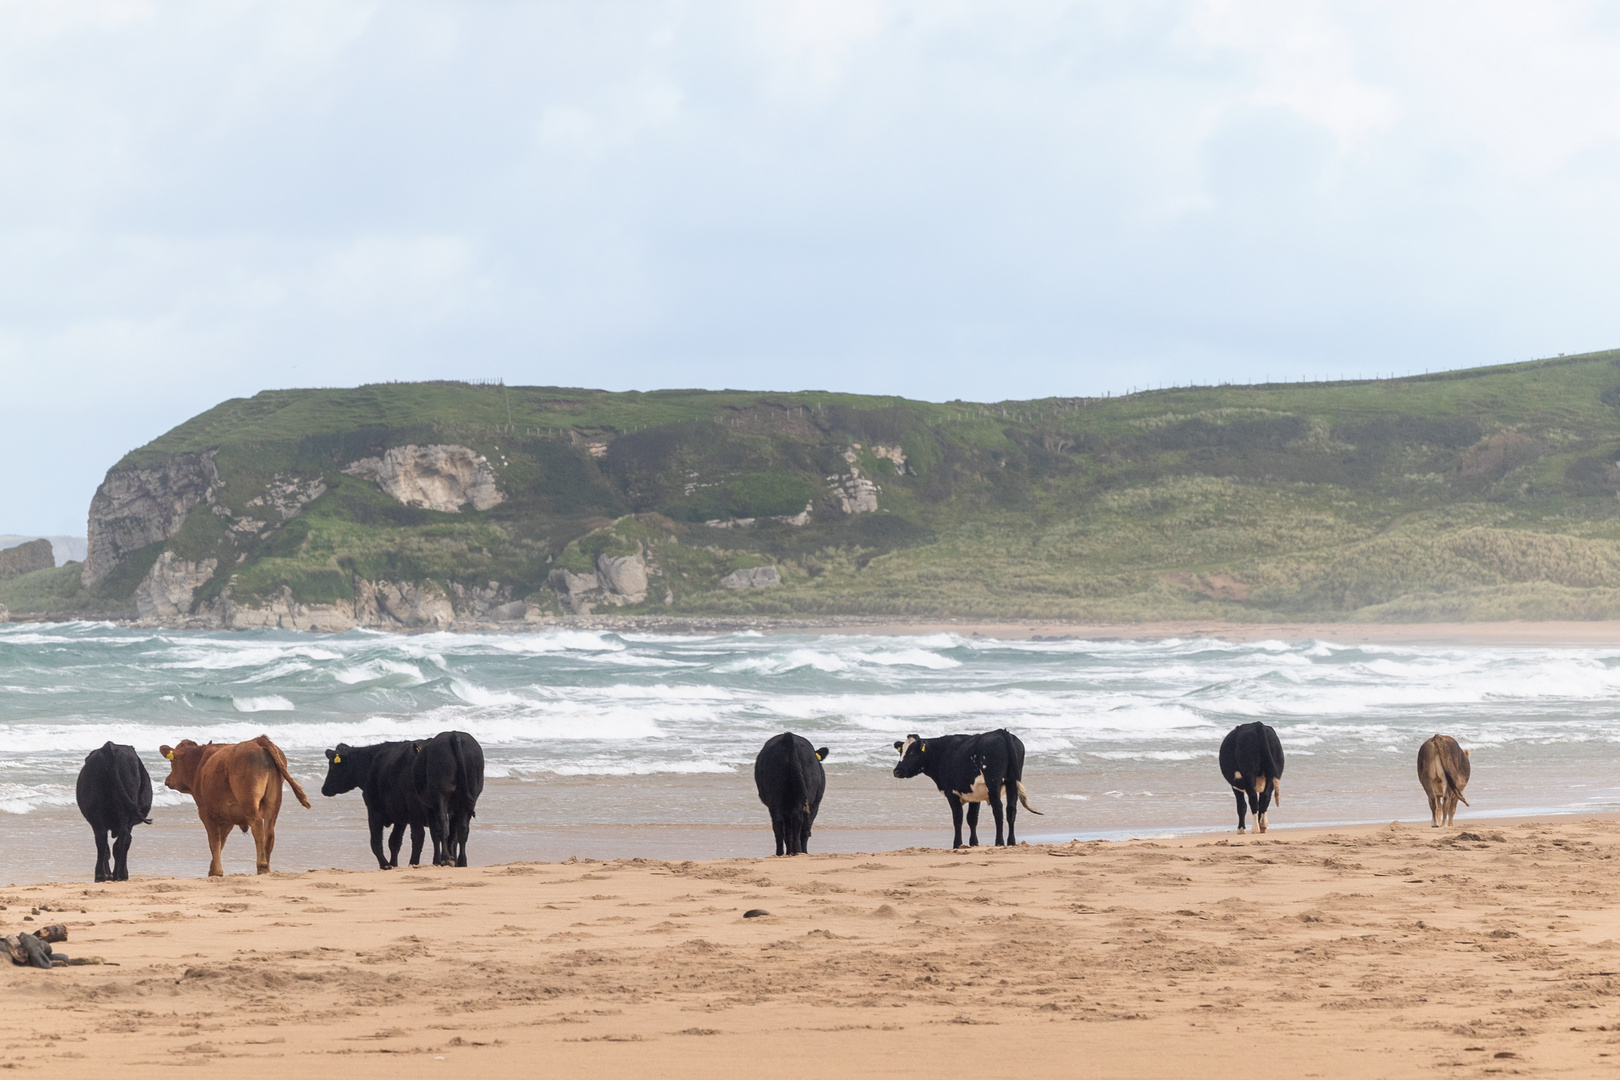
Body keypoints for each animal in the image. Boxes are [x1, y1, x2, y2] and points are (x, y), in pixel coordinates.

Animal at [76, 744, 153, 887]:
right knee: (121, 840)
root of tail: (110, 746)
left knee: (102, 841)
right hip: (124, 813)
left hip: (96, 811)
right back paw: (119, 875)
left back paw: (101, 875)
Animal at [163, 735, 312, 880]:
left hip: (249, 800)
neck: (199, 763)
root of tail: (259, 740)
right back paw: (267, 869)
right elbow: (221, 841)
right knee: (269, 832)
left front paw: (217, 871)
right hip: (273, 801)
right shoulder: (228, 817)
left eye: (172, 762)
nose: (167, 780)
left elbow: (214, 841)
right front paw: (212, 870)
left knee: (258, 826)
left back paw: (262, 865)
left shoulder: (205, 812)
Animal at [317, 738, 424, 874]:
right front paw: (393, 864)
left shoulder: (374, 810)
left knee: (418, 835)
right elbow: (394, 842)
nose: (324, 789)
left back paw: (413, 863)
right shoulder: (400, 816)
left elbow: (375, 842)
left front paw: (385, 865)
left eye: (332, 766)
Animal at [411, 731, 479, 867]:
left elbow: (435, 831)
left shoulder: (427, 806)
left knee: (442, 826)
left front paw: (438, 859)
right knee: (463, 829)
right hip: (470, 796)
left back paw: (445, 858)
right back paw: (462, 861)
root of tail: (454, 734)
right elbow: (453, 834)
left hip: (439, 795)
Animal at [894, 731, 1043, 848]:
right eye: (901, 751)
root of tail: (1002, 732)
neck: (942, 753)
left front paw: (957, 844)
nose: (897, 771)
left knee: (998, 810)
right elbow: (972, 818)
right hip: (1012, 781)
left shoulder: (951, 792)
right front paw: (973, 843)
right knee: (1011, 810)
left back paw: (999, 842)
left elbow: (958, 818)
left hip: (993, 783)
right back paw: (1011, 842)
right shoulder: (974, 794)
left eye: (912, 752)